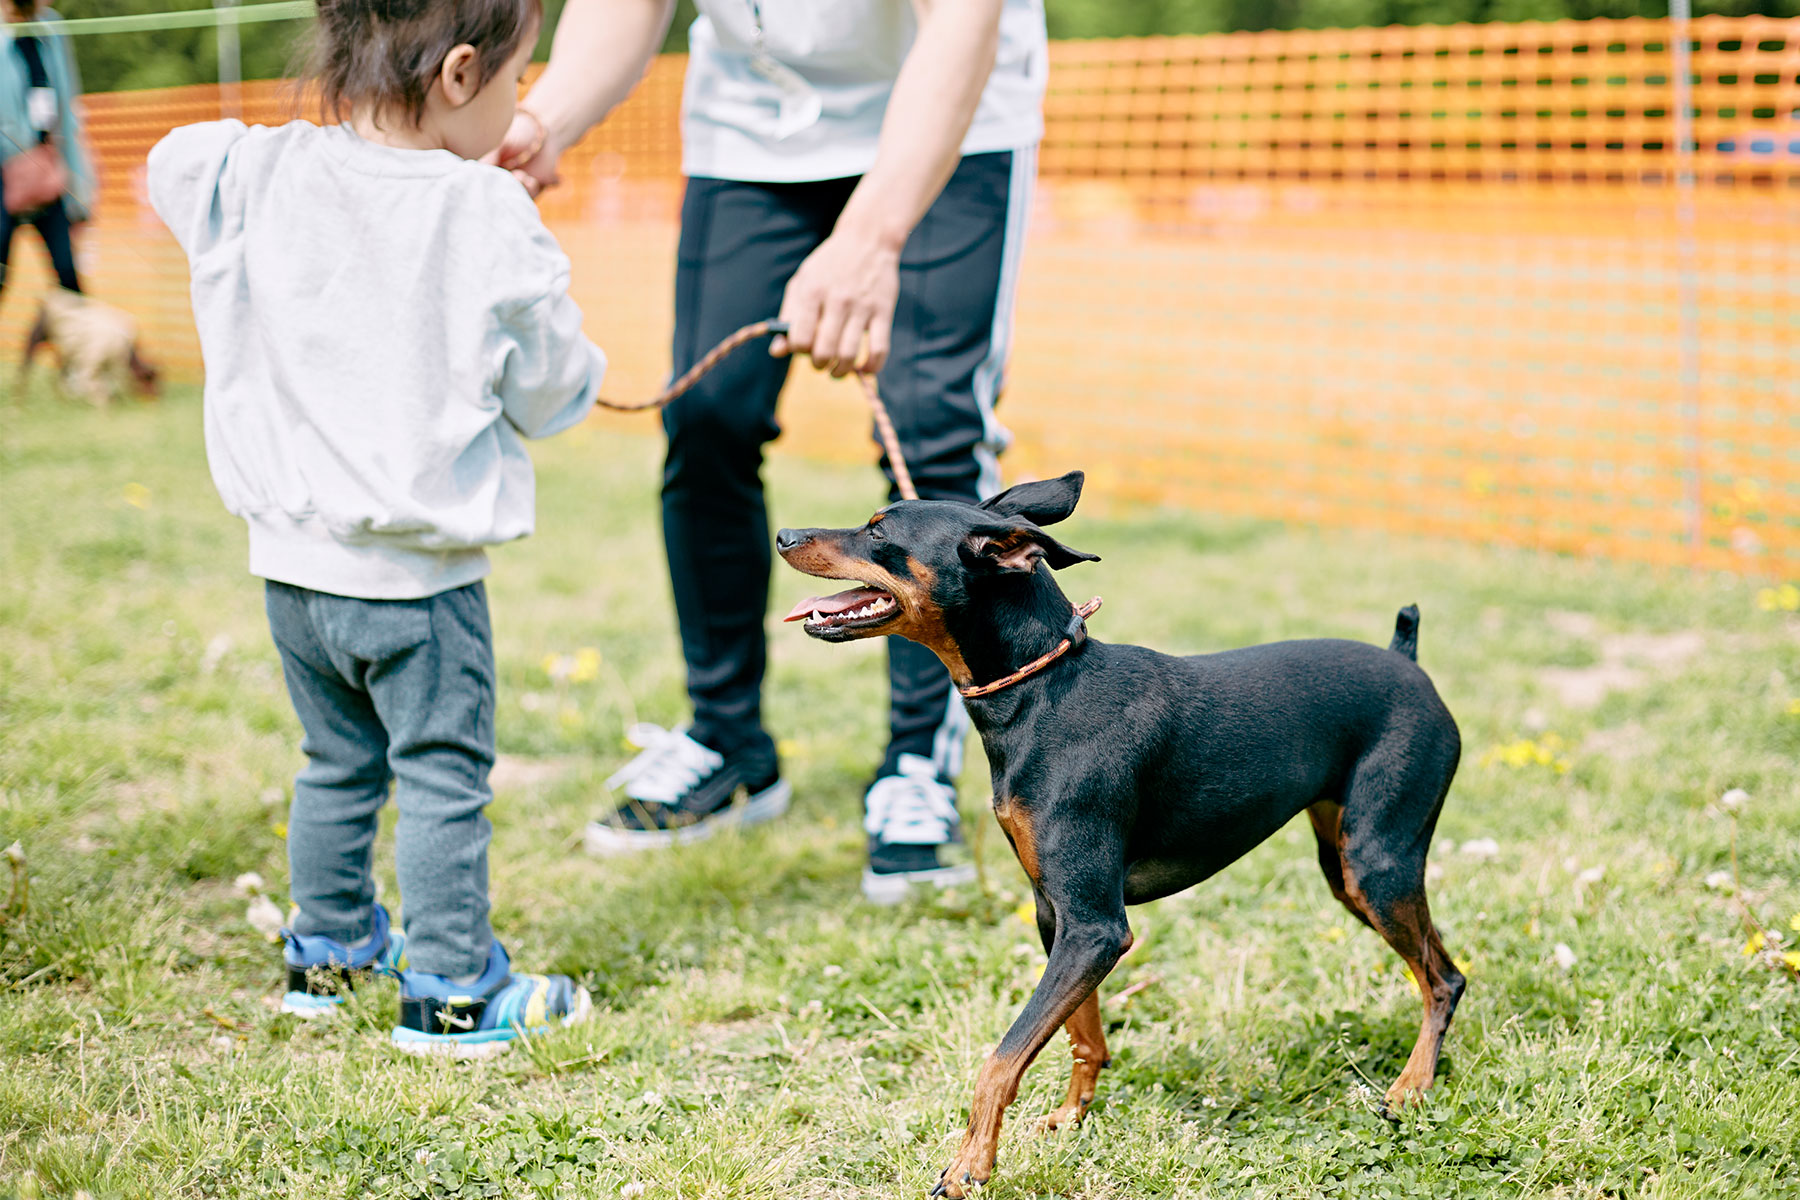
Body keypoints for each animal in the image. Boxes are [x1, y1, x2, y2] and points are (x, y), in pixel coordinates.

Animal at [16, 287, 159, 406]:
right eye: (148, 380)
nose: (155, 400)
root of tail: (51, 296)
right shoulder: (94, 361)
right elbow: (95, 385)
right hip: (39, 335)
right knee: (27, 361)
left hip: (60, 347)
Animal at [774, 474, 1461, 1194]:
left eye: (879, 530)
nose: (783, 535)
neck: (1044, 690)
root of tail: (1407, 663)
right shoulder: (1059, 917)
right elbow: (1083, 1035)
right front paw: (1072, 1115)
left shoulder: (1095, 928)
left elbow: (1001, 1060)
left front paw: (969, 1168)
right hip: (1349, 872)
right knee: (1438, 968)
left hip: (1377, 865)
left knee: (1443, 980)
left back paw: (1411, 1088)